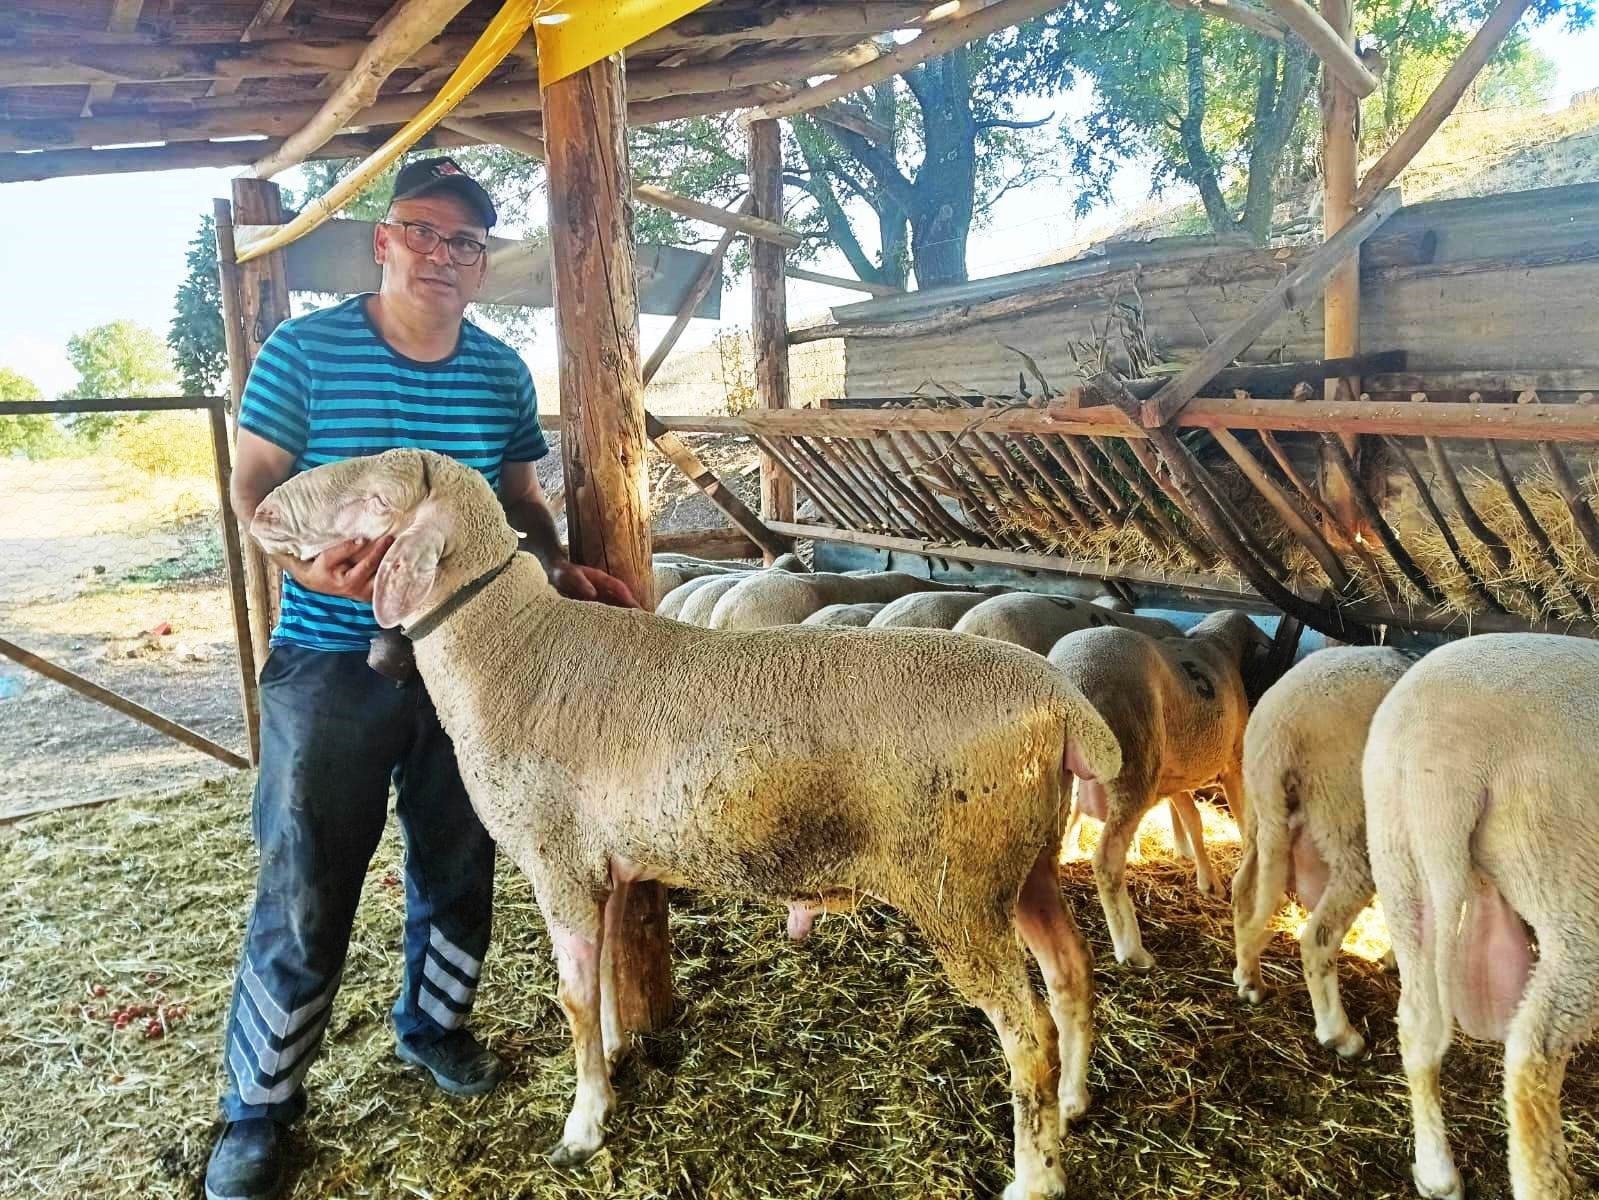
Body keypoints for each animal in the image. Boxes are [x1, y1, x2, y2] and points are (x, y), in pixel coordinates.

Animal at [249, 448, 1125, 1196]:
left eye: (375, 496)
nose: (259, 510)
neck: (510, 652)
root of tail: (1065, 709)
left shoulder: (555, 860)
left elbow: (573, 998)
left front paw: (582, 1125)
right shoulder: (597, 865)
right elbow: (605, 977)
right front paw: (611, 1059)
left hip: (956, 886)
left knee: (1026, 1032)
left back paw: (1035, 1177)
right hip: (1021, 863)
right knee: (1071, 973)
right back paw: (1074, 1103)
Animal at [1048, 614, 1260, 972]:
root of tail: (1072, 672)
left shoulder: (1172, 776)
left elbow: (1192, 818)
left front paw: (1201, 872)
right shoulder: (1234, 761)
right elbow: (1241, 820)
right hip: (1134, 763)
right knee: (1107, 862)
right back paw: (1132, 950)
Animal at [1228, 649, 1407, 1062]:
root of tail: (1281, 727)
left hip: (1259, 815)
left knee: (1243, 892)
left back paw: (1249, 980)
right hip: (1349, 821)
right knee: (1317, 939)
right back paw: (1339, 1035)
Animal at [1362, 633, 1599, 1196]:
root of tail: (1439, 753)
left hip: (1396, 850)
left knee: (1416, 1021)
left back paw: (1436, 1171)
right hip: (1571, 879)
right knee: (1532, 1058)